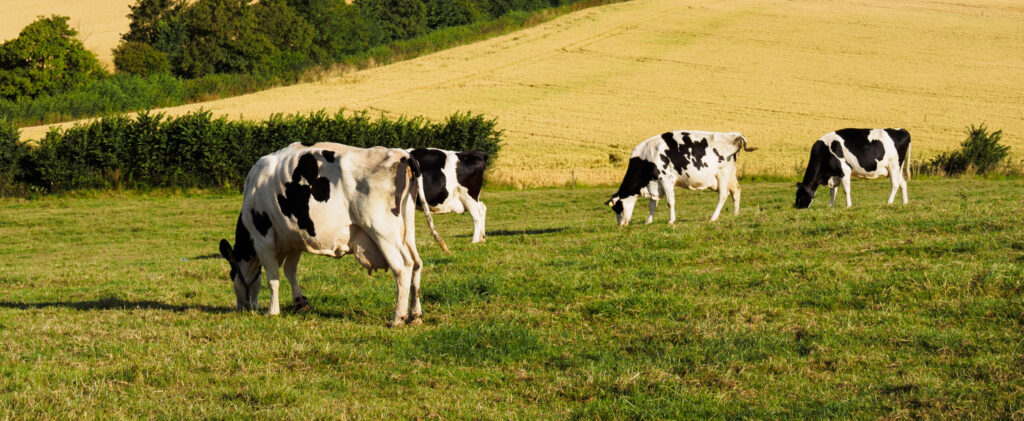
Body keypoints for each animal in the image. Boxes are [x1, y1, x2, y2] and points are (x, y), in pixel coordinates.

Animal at [218, 143, 450, 327]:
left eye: (231, 274)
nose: (241, 307)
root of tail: (402, 155)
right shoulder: (295, 238)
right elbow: (290, 271)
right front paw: (300, 302)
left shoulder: (262, 239)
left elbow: (272, 278)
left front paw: (272, 311)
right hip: (406, 230)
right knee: (417, 264)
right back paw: (415, 315)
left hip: (383, 231)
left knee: (403, 268)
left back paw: (398, 317)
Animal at [602, 130, 757, 225]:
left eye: (617, 207)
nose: (620, 224)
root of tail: (733, 135)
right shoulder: (655, 184)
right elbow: (652, 204)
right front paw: (648, 221)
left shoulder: (666, 179)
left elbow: (670, 202)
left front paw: (671, 220)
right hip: (730, 174)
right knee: (736, 190)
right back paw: (735, 214)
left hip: (723, 173)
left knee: (723, 195)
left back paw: (713, 217)